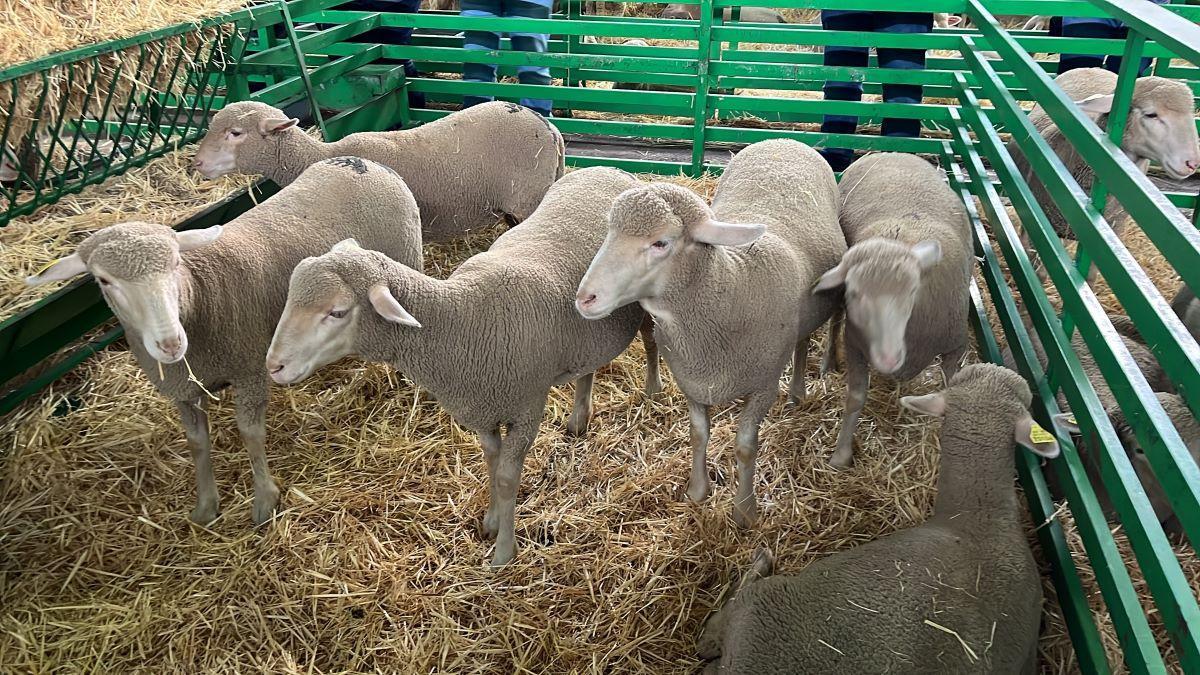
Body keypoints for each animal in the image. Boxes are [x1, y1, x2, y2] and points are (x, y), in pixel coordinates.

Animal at [25, 157, 424, 526]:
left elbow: (250, 433)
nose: (170, 342)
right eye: (104, 281)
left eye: (175, 263)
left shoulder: (249, 369)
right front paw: (205, 506)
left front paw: (264, 499)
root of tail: (362, 162)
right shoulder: (183, 390)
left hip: (406, 257)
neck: (200, 291)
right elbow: (197, 443)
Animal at [264, 166, 658, 567]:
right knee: (588, 365)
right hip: (587, 327)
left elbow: (506, 478)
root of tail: (609, 169)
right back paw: (579, 419)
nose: (274, 365)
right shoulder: (481, 409)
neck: (463, 319)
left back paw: (653, 391)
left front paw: (504, 552)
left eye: (337, 312)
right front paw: (491, 523)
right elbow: (491, 462)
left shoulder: (527, 408)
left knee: (651, 338)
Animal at [575, 139, 845, 527]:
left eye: (661, 243)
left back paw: (797, 392)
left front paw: (744, 512)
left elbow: (745, 447)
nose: (585, 298)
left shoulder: (763, 385)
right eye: (609, 233)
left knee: (804, 341)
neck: (730, 285)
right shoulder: (691, 380)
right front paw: (697, 492)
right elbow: (698, 435)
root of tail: (783, 140)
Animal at [813, 152, 972, 469]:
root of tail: (891, 152)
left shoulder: (956, 346)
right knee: (835, 321)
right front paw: (841, 455)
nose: (887, 358)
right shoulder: (856, 344)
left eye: (912, 292)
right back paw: (828, 362)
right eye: (854, 293)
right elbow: (855, 397)